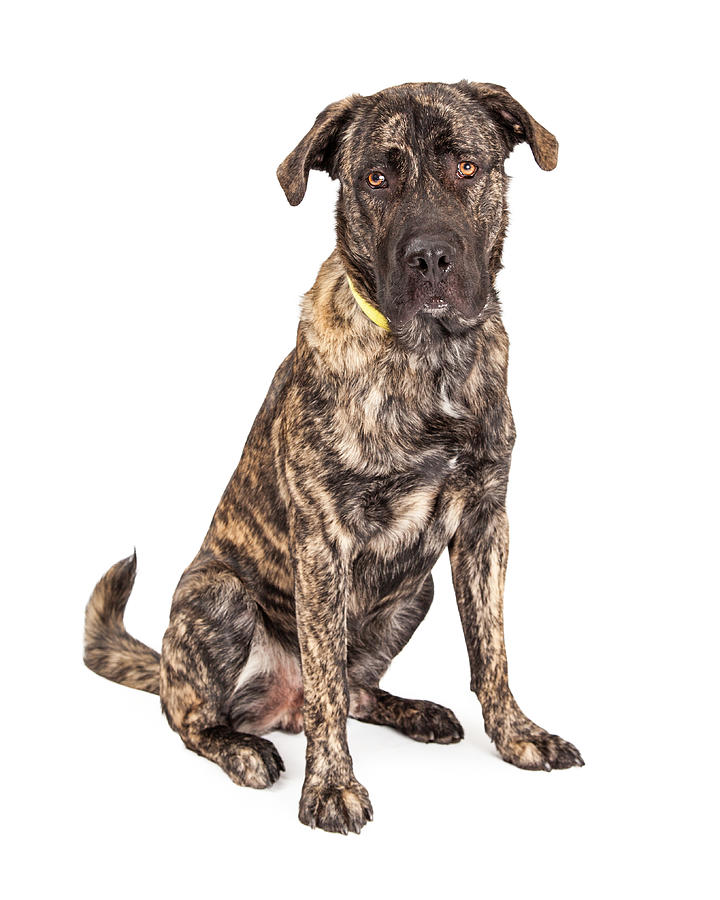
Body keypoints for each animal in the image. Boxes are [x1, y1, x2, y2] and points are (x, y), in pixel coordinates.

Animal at [83, 79, 584, 836]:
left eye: (468, 167)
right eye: (376, 178)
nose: (431, 257)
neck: (427, 361)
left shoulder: (483, 527)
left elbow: (490, 649)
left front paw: (518, 736)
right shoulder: (323, 544)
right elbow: (323, 684)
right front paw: (330, 787)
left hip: (417, 588)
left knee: (354, 690)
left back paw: (415, 711)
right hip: (218, 596)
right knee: (196, 719)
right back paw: (243, 749)